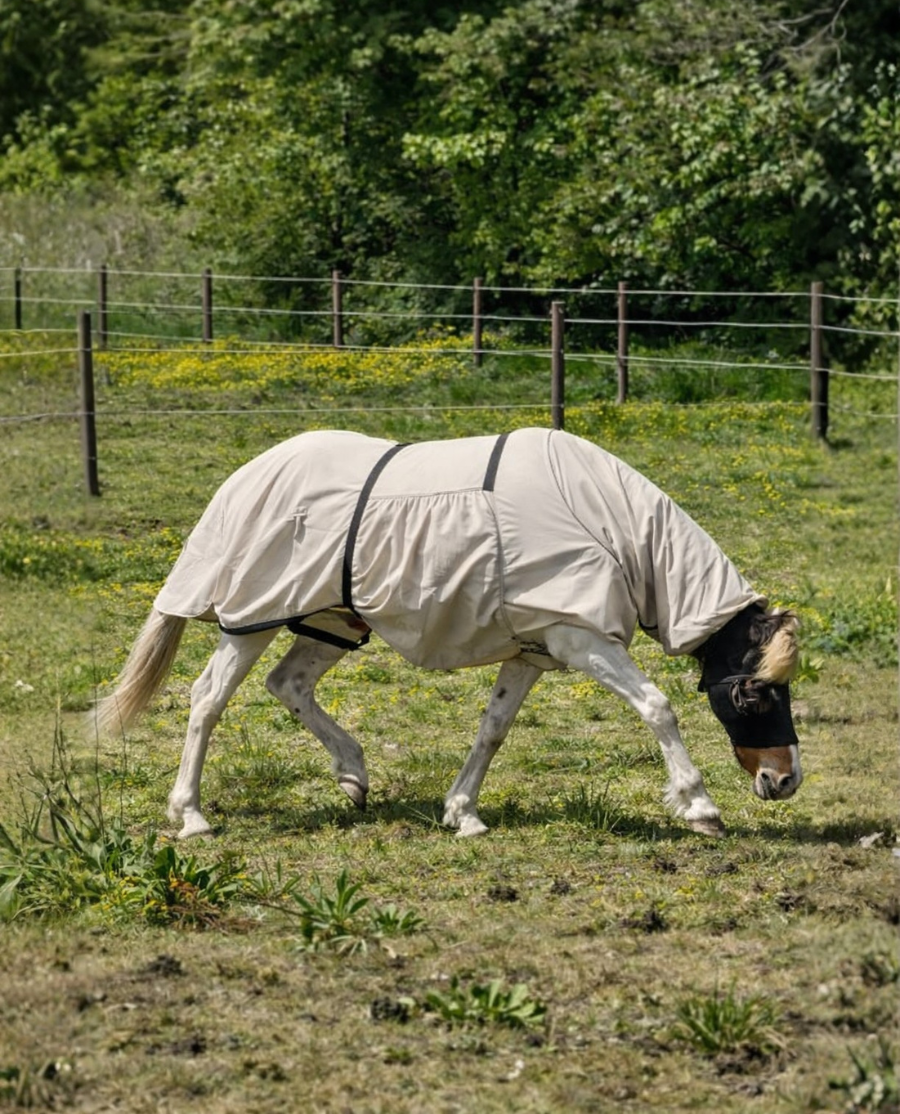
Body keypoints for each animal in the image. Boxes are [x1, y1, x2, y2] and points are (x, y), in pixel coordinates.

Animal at [91, 427, 801, 840]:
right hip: (252, 619)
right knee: (208, 699)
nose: (784, 780)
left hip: (331, 619)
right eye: (754, 695)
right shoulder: (582, 639)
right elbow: (657, 708)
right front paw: (699, 807)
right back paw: (190, 816)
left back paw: (353, 775)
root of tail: (241, 479)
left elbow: (493, 729)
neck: (603, 518)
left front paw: (463, 813)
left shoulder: (534, 650)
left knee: (288, 683)